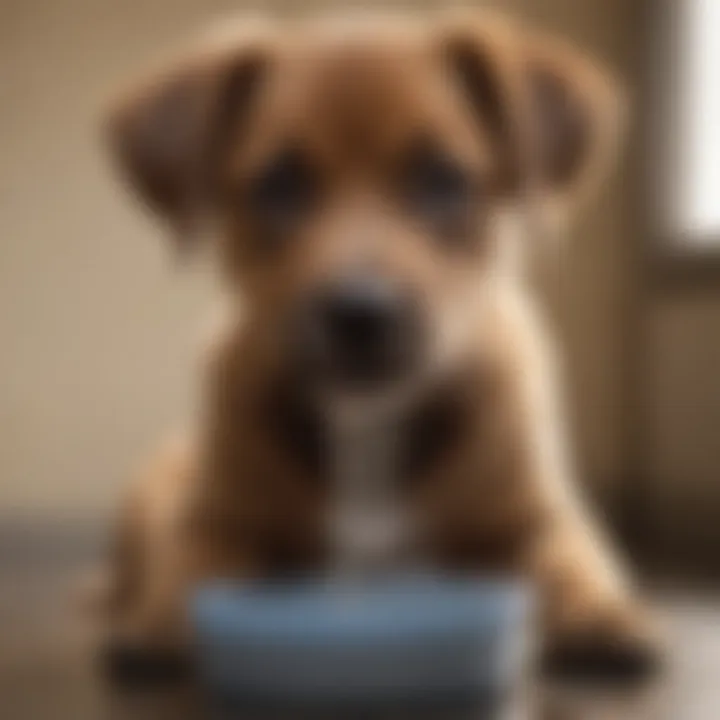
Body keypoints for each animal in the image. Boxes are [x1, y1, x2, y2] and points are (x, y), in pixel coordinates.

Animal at [100, 8, 660, 684]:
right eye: (278, 184)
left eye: (441, 179)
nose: (359, 314)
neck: (367, 421)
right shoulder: (216, 519)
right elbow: (190, 567)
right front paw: (160, 622)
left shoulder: (537, 520)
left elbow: (570, 565)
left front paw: (601, 613)